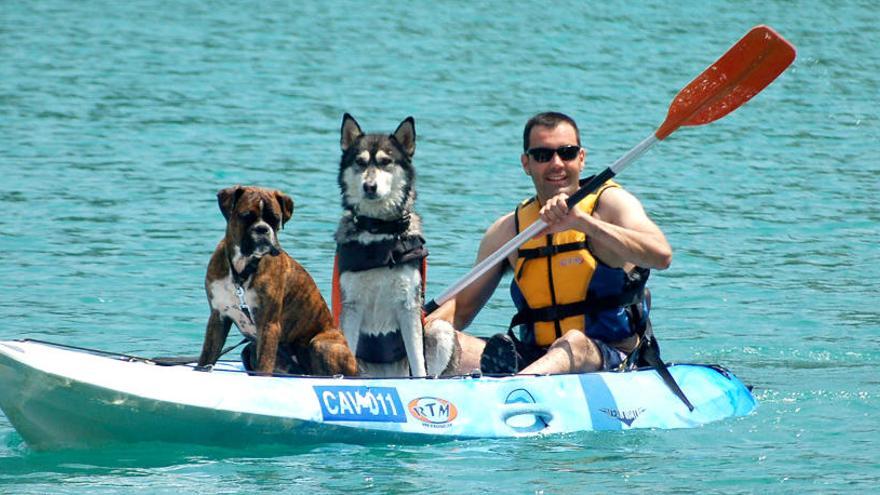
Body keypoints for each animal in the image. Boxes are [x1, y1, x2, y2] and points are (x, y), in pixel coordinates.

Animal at [199, 186, 358, 376]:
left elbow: (263, 366)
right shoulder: (218, 318)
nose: (262, 229)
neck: (242, 270)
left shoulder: (268, 325)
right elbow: (206, 358)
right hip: (250, 350)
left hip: (321, 344)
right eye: (246, 216)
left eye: (275, 219)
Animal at [334, 113, 436, 376]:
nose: (369, 187)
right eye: (360, 162)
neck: (378, 230)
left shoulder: (409, 308)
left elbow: (419, 365)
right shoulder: (351, 307)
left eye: (385, 162)